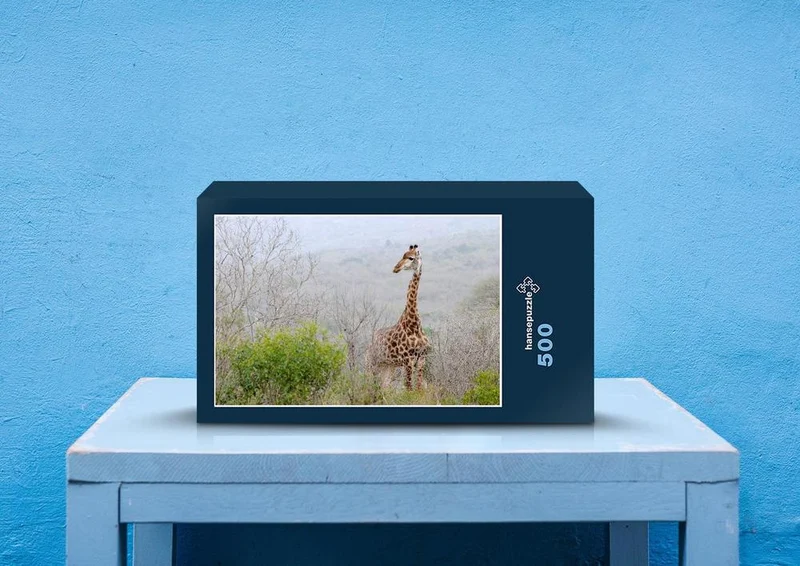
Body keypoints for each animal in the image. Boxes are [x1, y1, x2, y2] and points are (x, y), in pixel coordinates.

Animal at [366, 244, 431, 391]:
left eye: (411, 257)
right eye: (403, 255)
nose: (396, 268)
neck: (414, 324)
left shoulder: (421, 360)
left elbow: (419, 389)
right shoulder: (408, 360)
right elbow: (409, 389)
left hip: (388, 365)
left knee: (385, 387)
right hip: (371, 364)